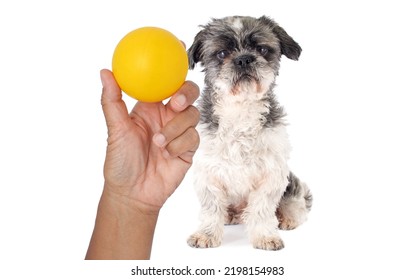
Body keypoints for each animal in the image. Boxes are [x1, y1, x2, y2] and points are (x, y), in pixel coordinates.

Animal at [186, 15, 312, 250]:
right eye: (222, 53)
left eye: (261, 49)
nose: (244, 59)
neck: (240, 110)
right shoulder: (208, 172)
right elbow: (211, 208)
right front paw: (207, 234)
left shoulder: (272, 173)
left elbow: (262, 209)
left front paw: (264, 236)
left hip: (290, 182)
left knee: (296, 203)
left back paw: (287, 218)